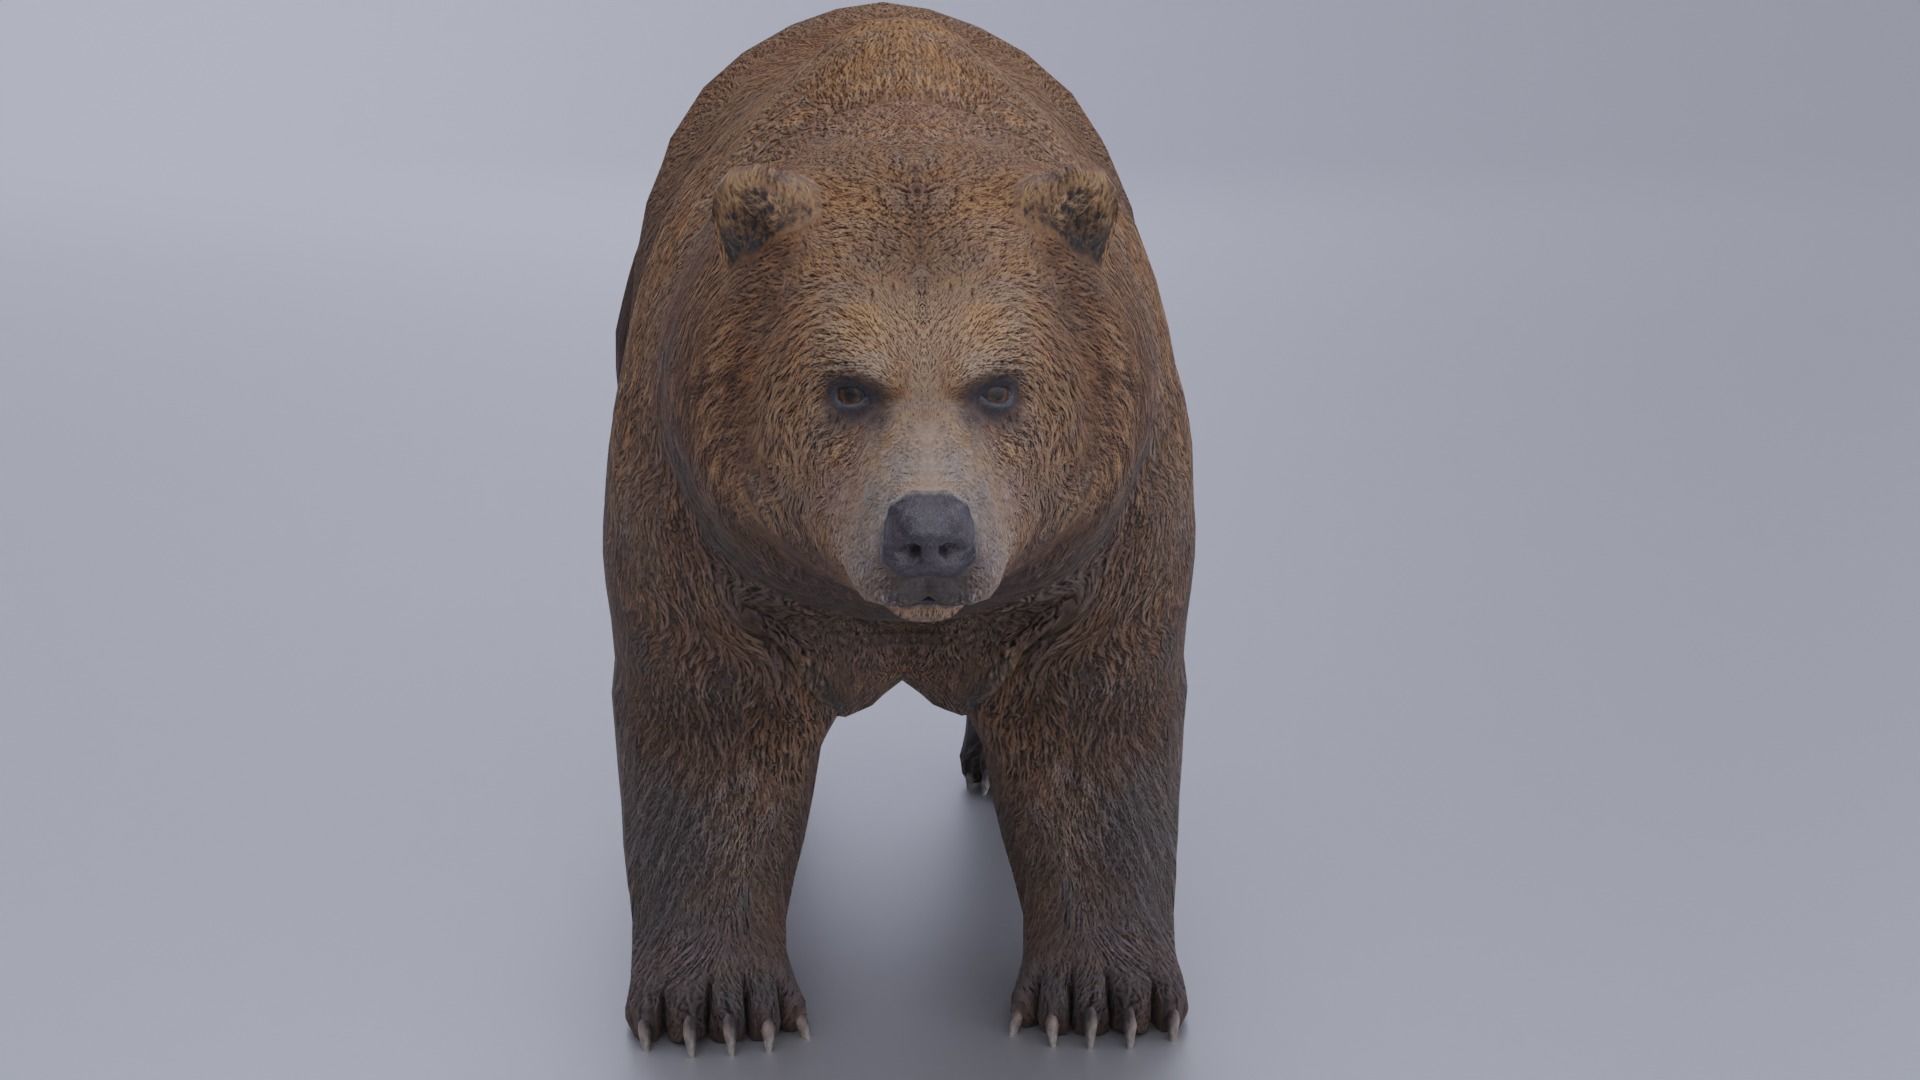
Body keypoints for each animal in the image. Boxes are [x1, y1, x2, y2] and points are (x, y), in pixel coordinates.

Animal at [603, 2, 1194, 1055]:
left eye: (998, 386)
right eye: (849, 387)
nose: (929, 533)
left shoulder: (1108, 528)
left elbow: (1093, 724)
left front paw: (1105, 994)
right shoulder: (692, 516)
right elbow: (711, 725)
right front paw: (715, 1003)